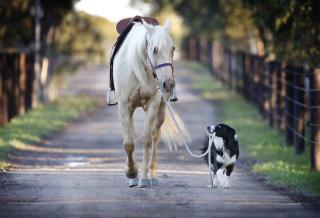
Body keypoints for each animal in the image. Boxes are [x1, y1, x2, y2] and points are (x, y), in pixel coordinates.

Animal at [113, 18, 190, 187]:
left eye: (173, 49)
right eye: (154, 50)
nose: (169, 84)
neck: (141, 68)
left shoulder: (153, 104)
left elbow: (147, 139)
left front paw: (143, 177)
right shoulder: (124, 106)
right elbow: (128, 143)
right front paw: (131, 172)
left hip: (161, 110)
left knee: (156, 136)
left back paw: (152, 175)